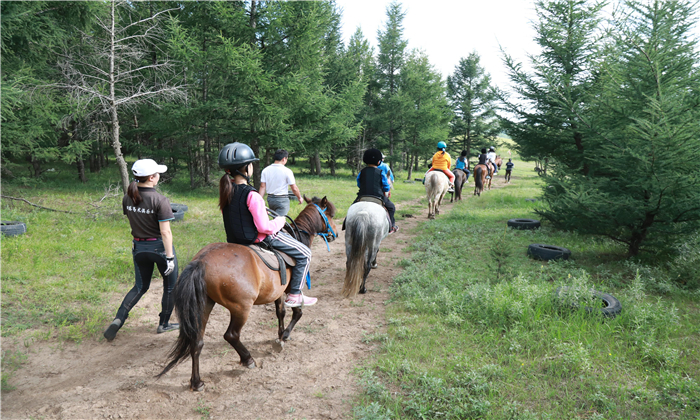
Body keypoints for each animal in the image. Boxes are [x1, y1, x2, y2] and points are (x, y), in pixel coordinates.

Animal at [157, 196, 336, 390]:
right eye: (330, 214)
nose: (335, 234)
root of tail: (202, 261)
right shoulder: (291, 288)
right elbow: (297, 311)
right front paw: (285, 335)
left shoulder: (278, 292)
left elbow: (280, 312)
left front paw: (280, 335)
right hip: (241, 308)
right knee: (231, 335)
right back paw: (248, 359)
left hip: (204, 305)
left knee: (196, 342)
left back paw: (197, 382)